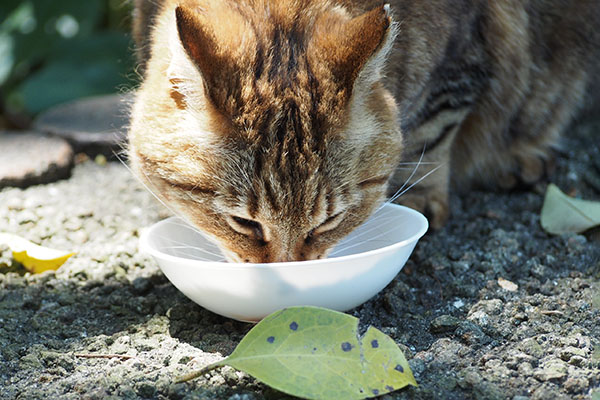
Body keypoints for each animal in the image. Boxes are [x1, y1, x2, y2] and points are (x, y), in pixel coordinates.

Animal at [126, 0, 596, 264]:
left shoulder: (459, 63)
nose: (288, 271)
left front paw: (421, 197)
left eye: (329, 222)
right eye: (244, 224)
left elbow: (430, 136)